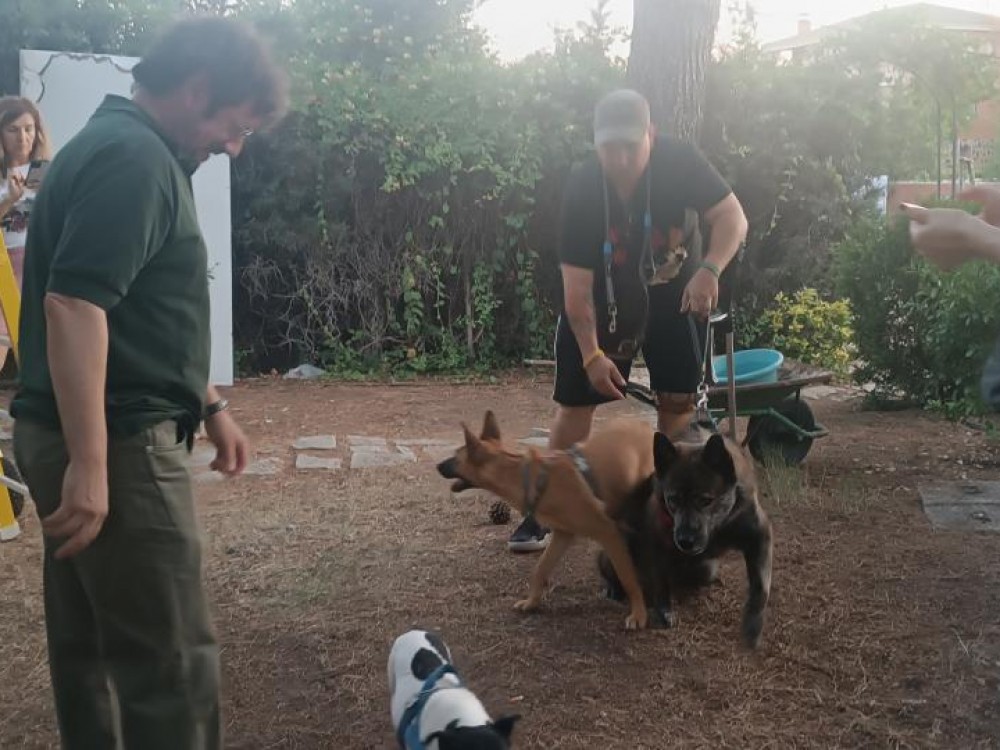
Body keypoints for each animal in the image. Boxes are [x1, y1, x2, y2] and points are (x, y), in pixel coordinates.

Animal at [436, 411, 655, 630]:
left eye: (455, 457)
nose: (437, 465)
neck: (526, 477)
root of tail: (646, 426)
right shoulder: (563, 535)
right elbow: (540, 569)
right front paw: (532, 602)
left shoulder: (609, 533)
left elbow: (628, 577)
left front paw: (639, 614)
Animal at [597, 431, 773, 648]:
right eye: (673, 499)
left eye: (706, 500)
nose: (685, 541)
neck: (717, 529)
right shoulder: (656, 543)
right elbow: (661, 584)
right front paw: (664, 611)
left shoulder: (759, 535)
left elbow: (761, 588)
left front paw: (753, 626)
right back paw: (615, 590)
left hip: (705, 569)